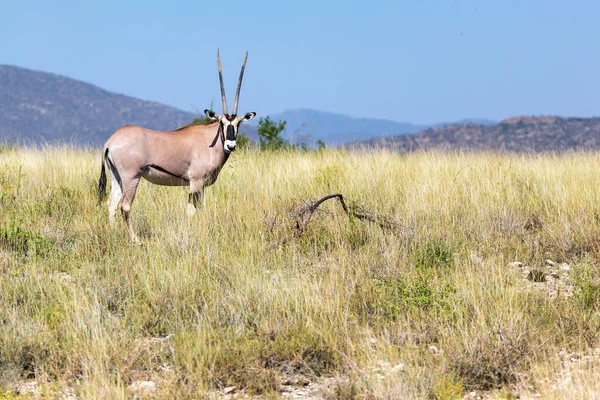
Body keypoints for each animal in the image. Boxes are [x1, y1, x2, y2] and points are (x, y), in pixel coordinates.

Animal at [96, 50, 255, 244]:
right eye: (221, 122)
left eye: (238, 123)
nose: (230, 145)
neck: (210, 140)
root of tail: (110, 141)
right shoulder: (196, 182)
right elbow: (191, 210)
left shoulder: (201, 186)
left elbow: (201, 209)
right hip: (131, 177)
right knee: (124, 205)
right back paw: (136, 240)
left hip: (116, 177)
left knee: (111, 204)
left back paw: (114, 235)